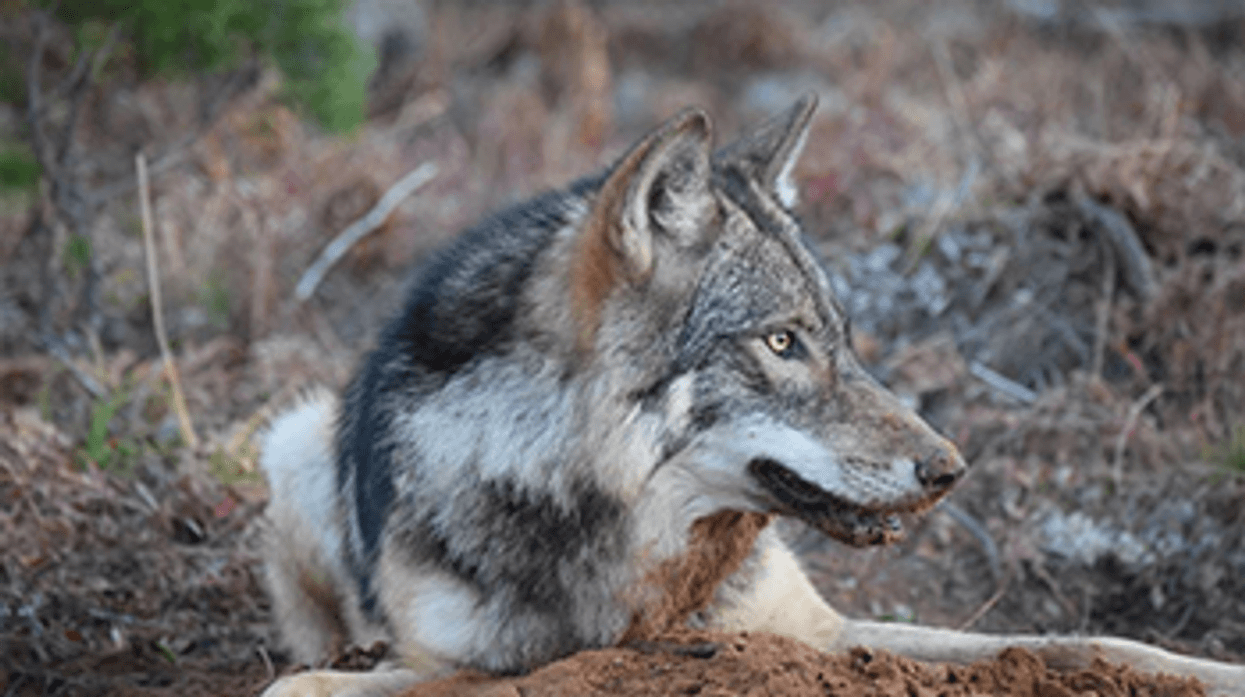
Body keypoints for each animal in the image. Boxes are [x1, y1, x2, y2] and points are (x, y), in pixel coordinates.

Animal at [258, 96, 1245, 697]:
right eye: (780, 342)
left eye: (841, 337)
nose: (949, 470)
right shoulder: (455, 657)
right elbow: (317, 680)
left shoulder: (812, 631)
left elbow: (1082, 644)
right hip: (291, 440)